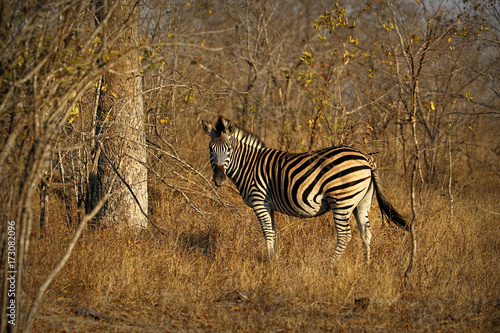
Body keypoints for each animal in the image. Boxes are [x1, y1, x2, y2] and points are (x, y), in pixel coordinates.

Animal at [201, 116, 408, 262]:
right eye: (210, 149)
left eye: (229, 149)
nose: (219, 179)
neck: (249, 165)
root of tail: (366, 157)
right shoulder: (269, 205)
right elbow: (273, 231)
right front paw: (275, 259)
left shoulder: (259, 201)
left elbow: (267, 231)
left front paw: (269, 261)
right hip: (362, 201)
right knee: (366, 233)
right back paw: (367, 264)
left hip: (342, 200)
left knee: (344, 236)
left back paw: (330, 265)